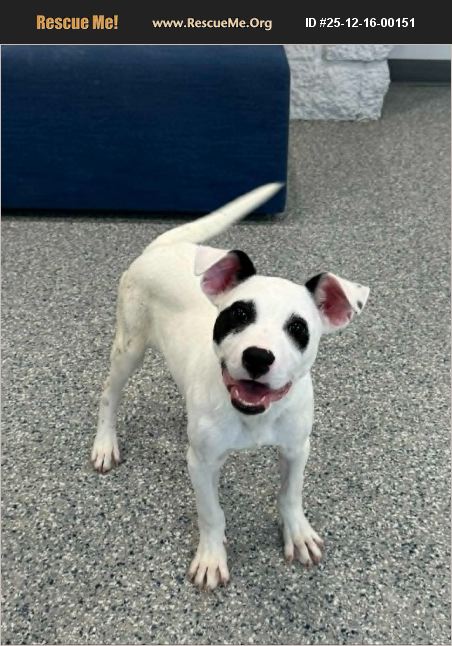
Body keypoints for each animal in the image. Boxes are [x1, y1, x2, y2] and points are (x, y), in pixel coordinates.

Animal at [91, 183, 369, 590]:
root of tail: (162, 247)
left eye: (298, 328)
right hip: (129, 347)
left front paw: (297, 532)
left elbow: (291, 494)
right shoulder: (202, 463)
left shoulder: (296, 449)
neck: (254, 416)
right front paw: (211, 557)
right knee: (109, 395)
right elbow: (211, 513)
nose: (258, 357)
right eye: (239, 314)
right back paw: (104, 443)